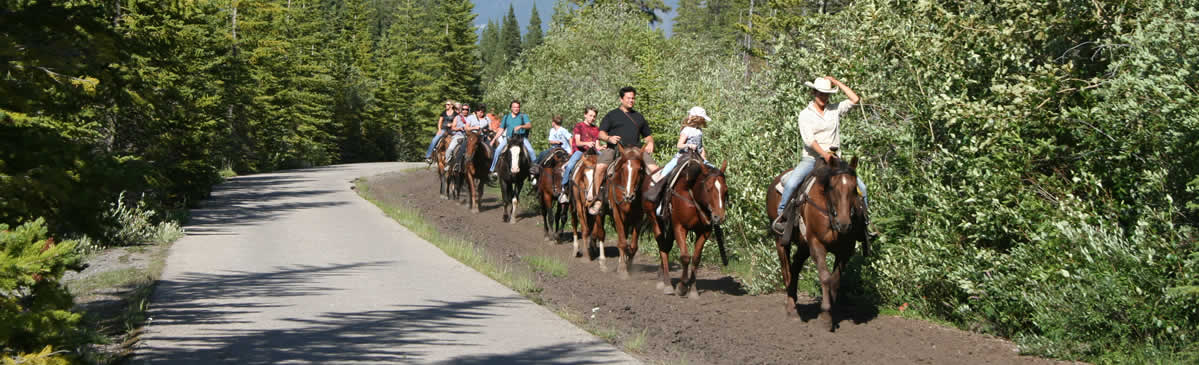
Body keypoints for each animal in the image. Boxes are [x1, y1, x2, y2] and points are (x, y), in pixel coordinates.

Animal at [599, 144, 647, 278]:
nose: (629, 196)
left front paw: (628, 264)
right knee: (601, 233)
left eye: (640, 169)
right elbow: (622, 242)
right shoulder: (616, 212)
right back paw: (603, 263)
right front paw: (622, 269)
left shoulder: (638, 217)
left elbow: (633, 245)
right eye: (623, 168)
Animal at [647, 152, 728, 297]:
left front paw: (693, 290)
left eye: (725, 190)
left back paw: (661, 277)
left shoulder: (704, 231)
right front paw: (682, 287)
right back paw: (667, 284)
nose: (719, 217)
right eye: (708, 188)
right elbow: (685, 257)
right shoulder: (679, 227)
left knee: (666, 247)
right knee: (662, 248)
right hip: (655, 221)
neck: (692, 195)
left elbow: (696, 258)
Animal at [767, 153, 863, 328]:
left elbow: (835, 280)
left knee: (795, 268)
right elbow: (825, 277)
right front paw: (825, 315)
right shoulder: (817, 244)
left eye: (854, 188)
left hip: (803, 246)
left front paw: (831, 312)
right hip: (781, 241)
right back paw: (791, 309)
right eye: (832, 187)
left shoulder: (845, 250)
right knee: (787, 272)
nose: (844, 224)